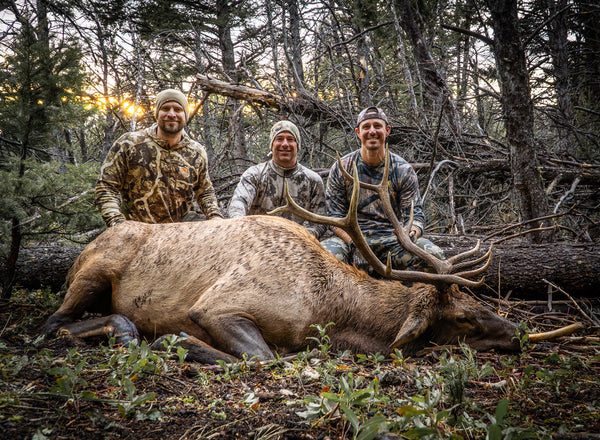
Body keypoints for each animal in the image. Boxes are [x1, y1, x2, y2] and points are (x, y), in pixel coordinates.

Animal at [42, 156, 520, 362]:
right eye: (463, 319)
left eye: (476, 301)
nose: (517, 333)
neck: (327, 310)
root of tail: (85, 249)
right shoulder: (219, 306)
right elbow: (266, 357)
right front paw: (176, 340)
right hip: (95, 271)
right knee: (52, 323)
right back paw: (123, 332)